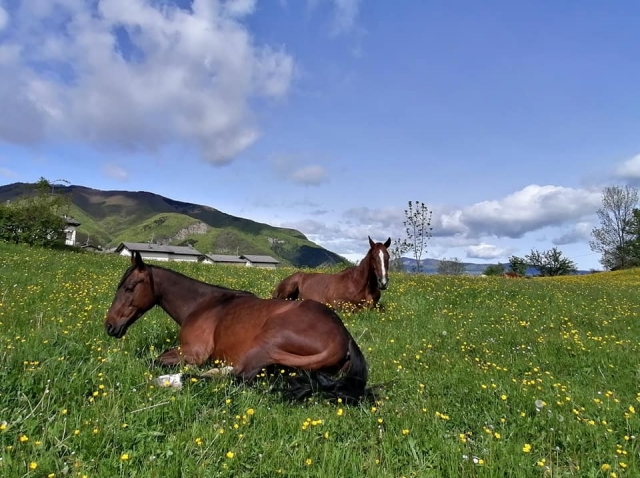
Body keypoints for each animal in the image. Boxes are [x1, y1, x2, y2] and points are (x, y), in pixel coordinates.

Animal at [104, 252, 372, 403]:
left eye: (128, 287)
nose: (110, 326)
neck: (203, 305)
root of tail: (344, 339)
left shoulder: (192, 353)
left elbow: (152, 361)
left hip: (265, 344)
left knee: (238, 378)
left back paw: (171, 380)